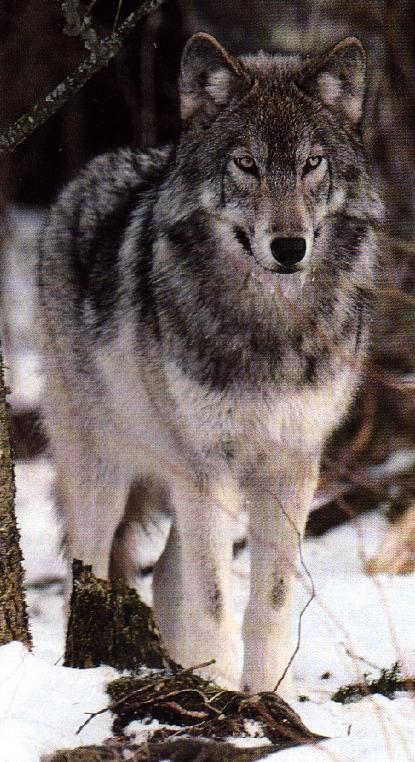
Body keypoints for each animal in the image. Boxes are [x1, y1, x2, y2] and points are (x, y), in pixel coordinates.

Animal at [38, 31, 380, 696]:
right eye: (246, 164)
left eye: (311, 164)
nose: (289, 246)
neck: (269, 327)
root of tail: (81, 177)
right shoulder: (206, 466)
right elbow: (215, 600)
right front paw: (223, 692)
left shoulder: (292, 465)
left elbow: (268, 602)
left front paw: (269, 697)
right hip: (106, 473)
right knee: (90, 572)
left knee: (169, 576)